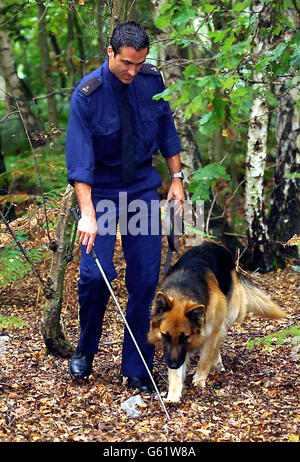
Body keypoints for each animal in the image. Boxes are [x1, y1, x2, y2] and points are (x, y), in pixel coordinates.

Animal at [148, 240, 286, 402]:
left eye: (185, 336)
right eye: (165, 335)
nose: (173, 364)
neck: (182, 288)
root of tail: (214, 244)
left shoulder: (211, 331)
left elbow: (205, 359)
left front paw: (199, 380)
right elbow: (176, 373)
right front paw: (173, 394)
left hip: (227, 317)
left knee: (218, 342)